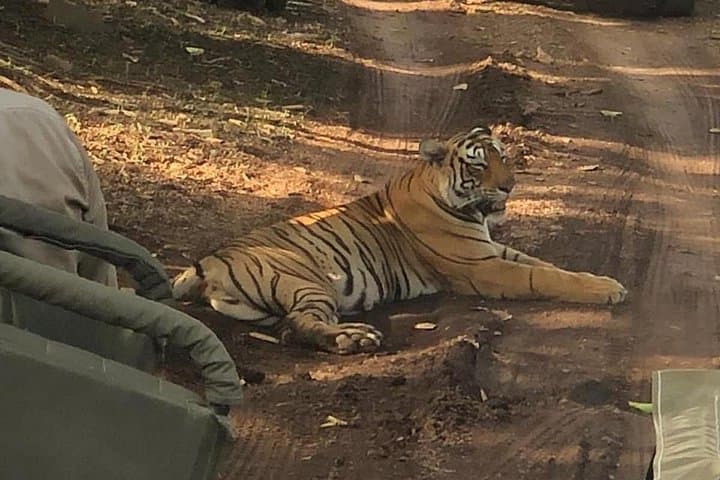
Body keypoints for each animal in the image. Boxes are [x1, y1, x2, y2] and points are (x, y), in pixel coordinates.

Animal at [172, 126, 627, 354]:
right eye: (478, 166)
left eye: (503, 155)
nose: (509, 187)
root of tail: (206, 262)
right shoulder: (482, 266)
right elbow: (544, 277)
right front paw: (610, 290)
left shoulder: (494, 250)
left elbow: (547, 266)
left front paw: (599, 280)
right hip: (305, 278)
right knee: (302, 324)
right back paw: (355, 338)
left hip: (270, 307)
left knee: (289, 328)